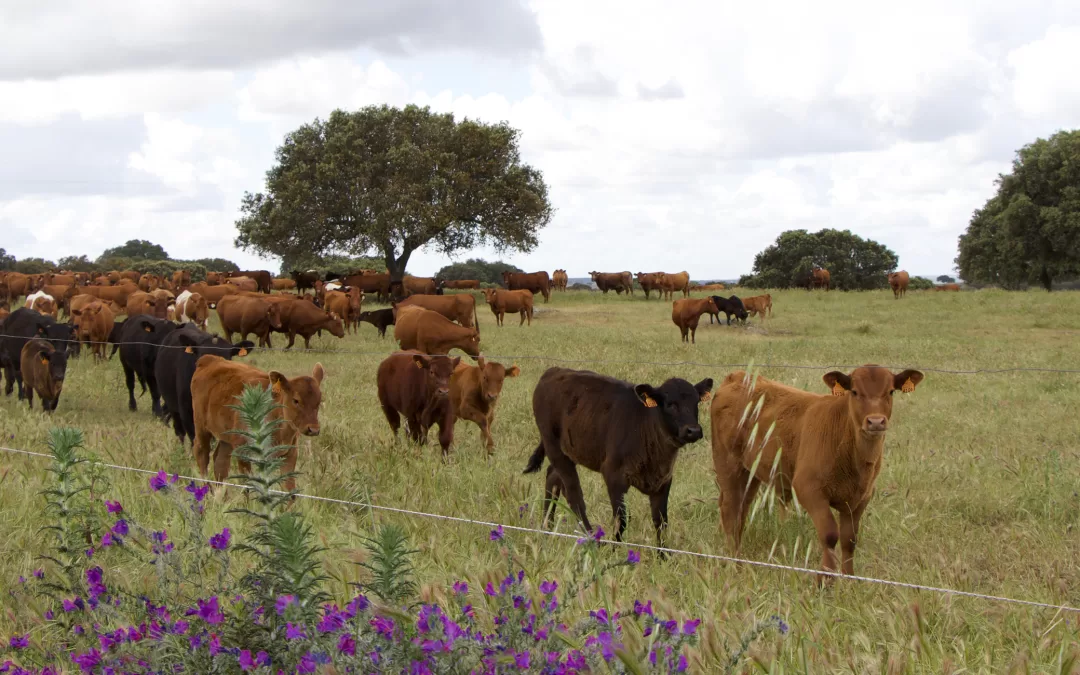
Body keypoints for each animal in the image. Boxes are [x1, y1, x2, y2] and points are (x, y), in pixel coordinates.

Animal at [190, 352, 324, 490]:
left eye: (319, 400)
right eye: (296, 400)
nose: (313, 429)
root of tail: (209, 359)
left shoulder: (290, 454)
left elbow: (289, 489)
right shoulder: (243, 452)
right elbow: (248, 485)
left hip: (226, 438)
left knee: (220, 462)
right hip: (201, 428)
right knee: (201, 453)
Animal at [524, 369, 717, 548]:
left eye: (696, 402)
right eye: (670, 404)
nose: (693, 430)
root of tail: (555, 371)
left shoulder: (664, 480)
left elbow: (661, 521)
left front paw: (663, 556)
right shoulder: (614, 476)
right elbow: (621, 519)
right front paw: (615, 550)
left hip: (568, 451)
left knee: (552, 478)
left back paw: (547, 528)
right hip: (553, 446)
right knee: (574, 495)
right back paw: (592, 539)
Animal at [712, 365, 924, 583]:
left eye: (890, 392)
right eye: (854, 391)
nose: (875, 421)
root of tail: (738, 377)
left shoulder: (860, 499)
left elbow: (849, 539)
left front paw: (849, 580)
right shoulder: (808, 489)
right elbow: (830, 535)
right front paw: (825, 580)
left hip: (750, 472)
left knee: (741, 509)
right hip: (728, 463)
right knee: (730, 509)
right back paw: (734, 563)